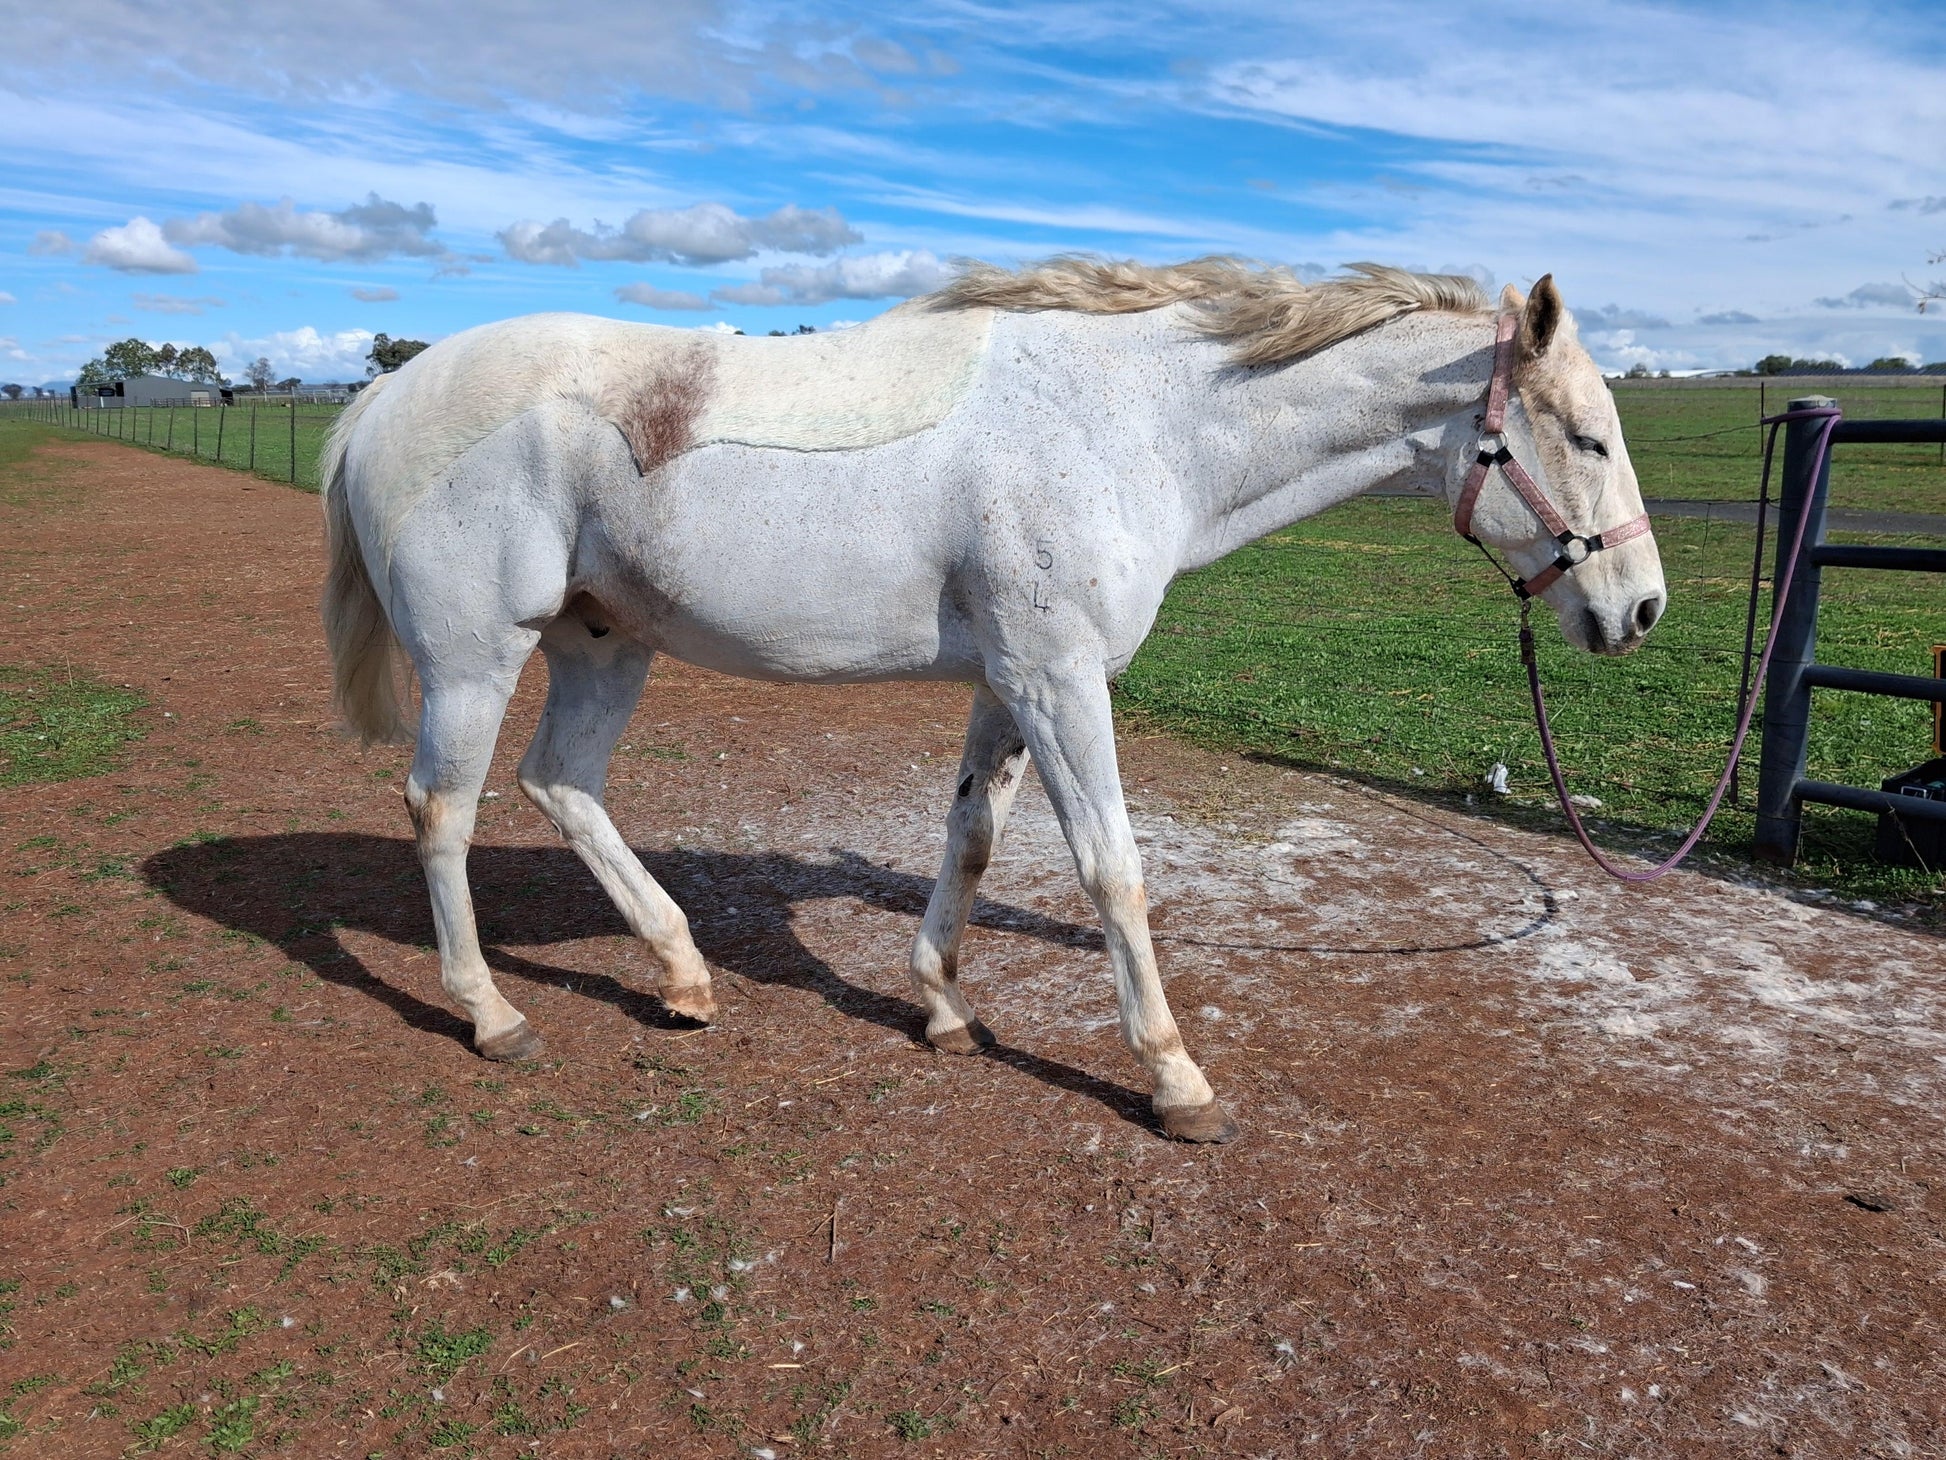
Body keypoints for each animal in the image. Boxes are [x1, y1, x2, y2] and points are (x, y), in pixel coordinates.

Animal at [319, 258, 1666, 1142]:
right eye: (1587, 437)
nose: (1641, 608)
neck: (1133, 423)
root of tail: (383, 398)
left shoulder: (1015, 682)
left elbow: (969, 838)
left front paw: (941, 1004)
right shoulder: (1058, 680)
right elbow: (1111, 869)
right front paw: (1173, 1078)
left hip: (604, 649)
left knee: (561, 785)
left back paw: (682, 973)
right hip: (476, 659)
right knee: (442, 809)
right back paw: (491, 1012)